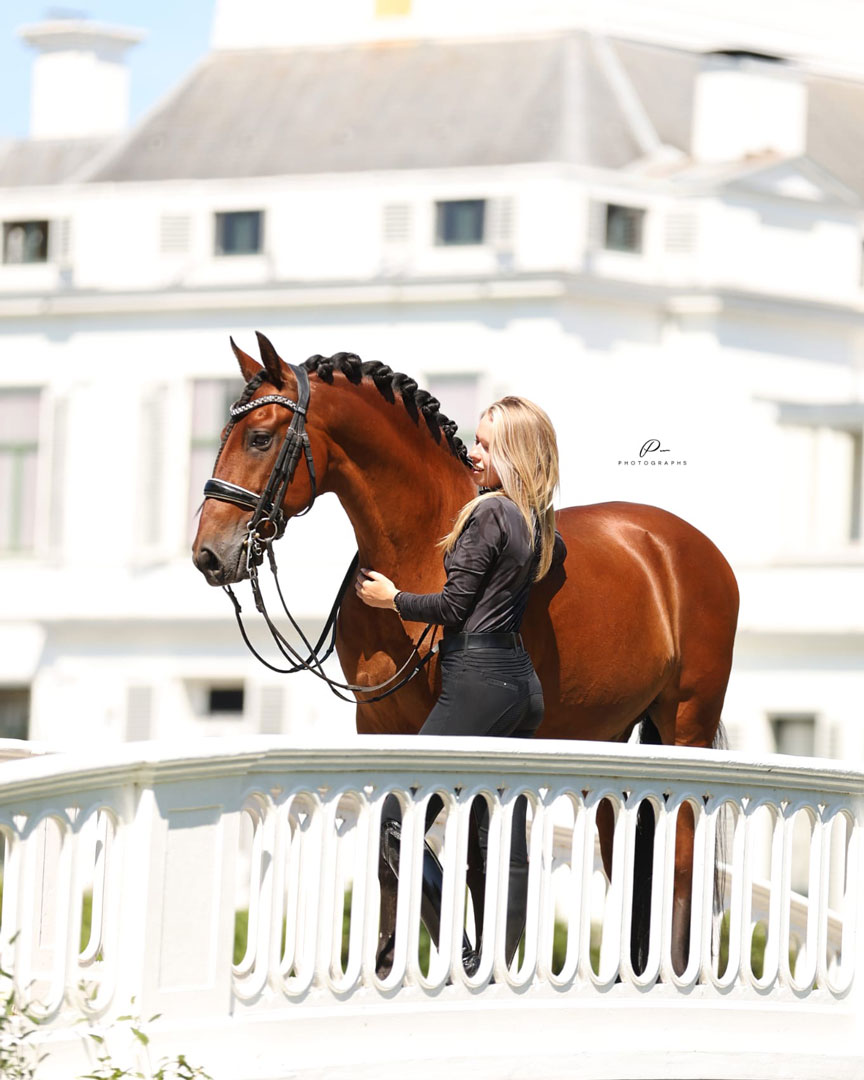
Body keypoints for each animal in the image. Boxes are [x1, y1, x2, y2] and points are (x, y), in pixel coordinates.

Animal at [192, 334, 740, 976]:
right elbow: (395, 850)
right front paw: (388, 964)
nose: (209, 554)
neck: (423, 545)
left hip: (686, 726)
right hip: (612, 735)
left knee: (681, 857)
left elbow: (471, 859)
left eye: (259, 437)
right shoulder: (382, 726)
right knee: (627, 854)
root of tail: (685, 545)